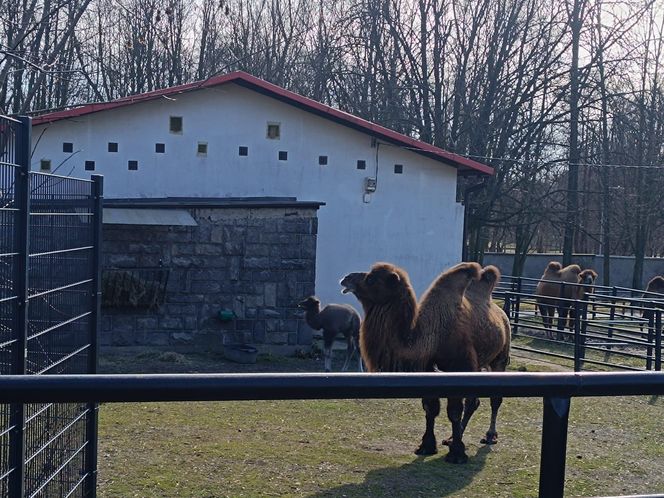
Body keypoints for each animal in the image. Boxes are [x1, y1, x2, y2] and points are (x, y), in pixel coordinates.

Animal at [340, 260, 510, 462]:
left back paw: (489, 435)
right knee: (473, 402)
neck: (434, 333)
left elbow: (453, 411)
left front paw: (457, 453)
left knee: (494, 399)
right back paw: (452, 437)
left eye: (372, 279)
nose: (346, 278)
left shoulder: (459, 367)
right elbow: (430, 408)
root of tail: (502, 314)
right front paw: (427, 446)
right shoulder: (428, 368)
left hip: (500, 358)